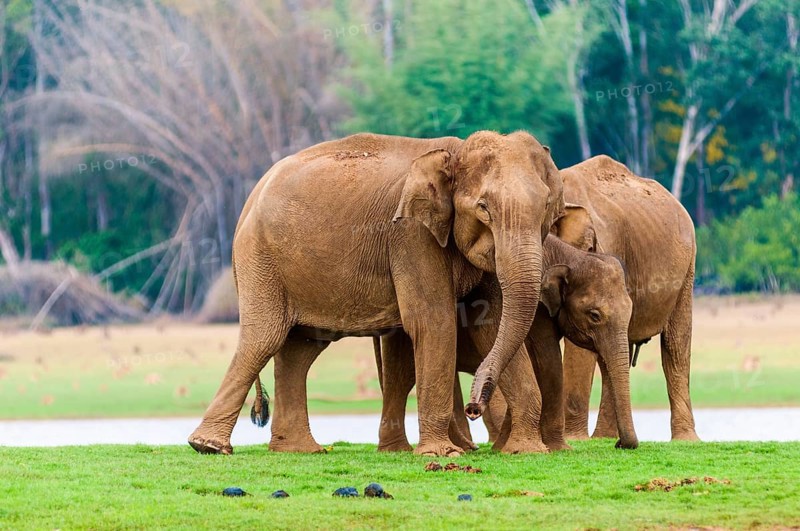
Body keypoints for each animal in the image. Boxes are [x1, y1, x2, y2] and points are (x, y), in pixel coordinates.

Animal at [188, 130, 564, 456]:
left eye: (547, 206)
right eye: (484, 208)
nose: (474, 407)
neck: (455, 150)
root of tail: (250, 199)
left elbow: (492, 323)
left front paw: (527, 451)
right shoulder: (411, 235)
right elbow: (434, 322)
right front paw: (441, 454)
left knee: (300, 349)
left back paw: (298, 449)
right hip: (260, 258)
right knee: (263, 338)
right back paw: (209, 447)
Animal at [373, 233, 638, 452]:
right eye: (594, 315)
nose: (620, 444)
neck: (570, 254)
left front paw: (504, 447)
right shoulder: (537, 311)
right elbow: (547, 361)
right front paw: (557, 449)